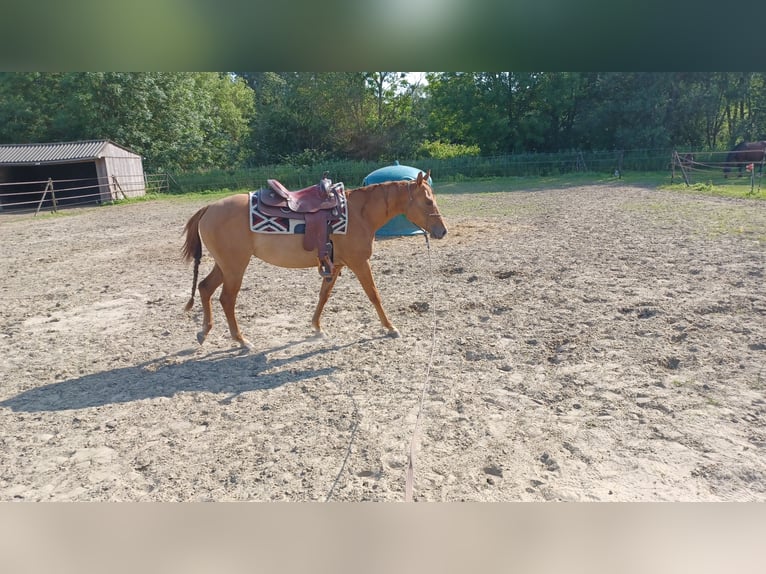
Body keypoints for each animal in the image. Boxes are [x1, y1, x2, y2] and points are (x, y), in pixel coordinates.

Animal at [182, 171, 447, 349]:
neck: (359, 214)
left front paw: (317, 328)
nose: (442, 231)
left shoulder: (335, 264)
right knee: (226, 299)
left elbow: (324, 295)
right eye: (428, 201)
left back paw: (204, 332)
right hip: (235, 267)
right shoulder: (359, 263)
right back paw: (242, 340)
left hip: (225, 265)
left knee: (204, 288)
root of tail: (208, 208)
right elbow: (374, 294)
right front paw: (390, 327)